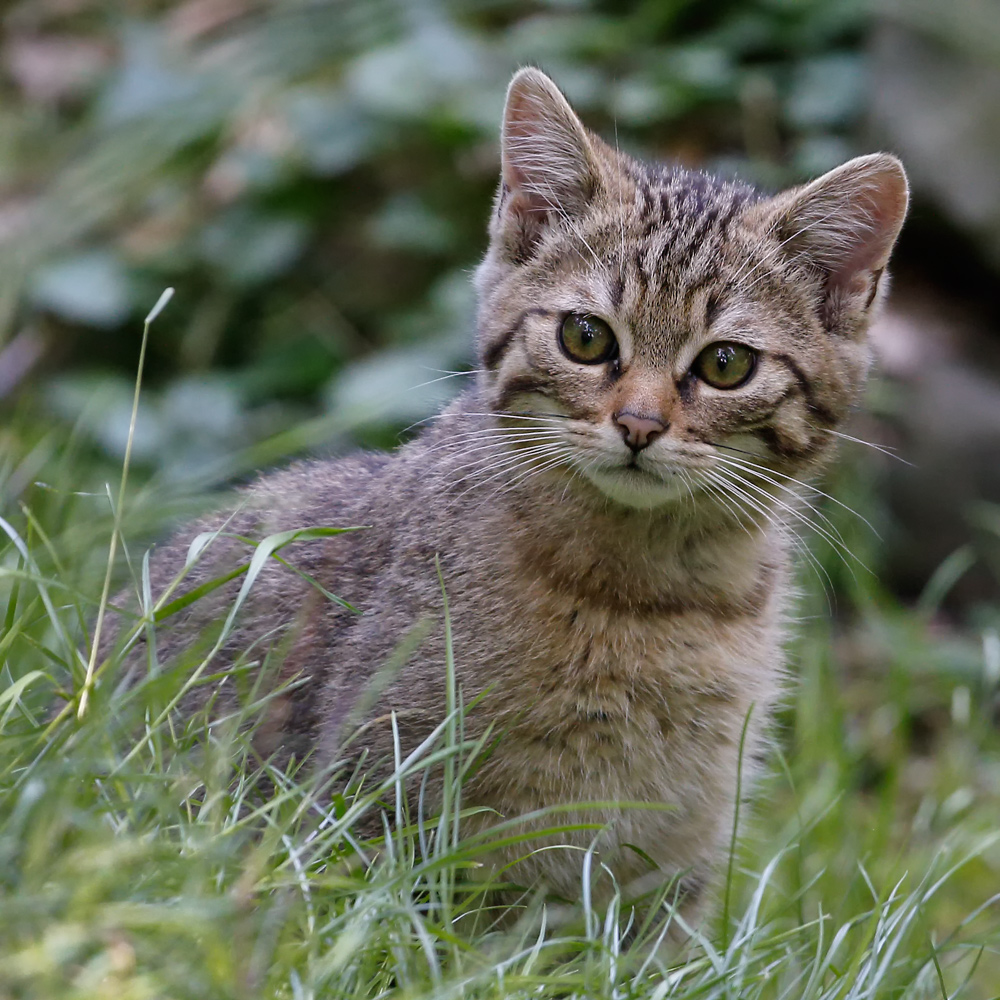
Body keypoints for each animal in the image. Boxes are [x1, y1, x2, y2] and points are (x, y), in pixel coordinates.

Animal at [113, 68, 912, 916]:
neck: (649, 597)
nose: (638, 425)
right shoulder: (381, 801)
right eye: (585, 338)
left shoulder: (675, 862)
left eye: (726, 364)